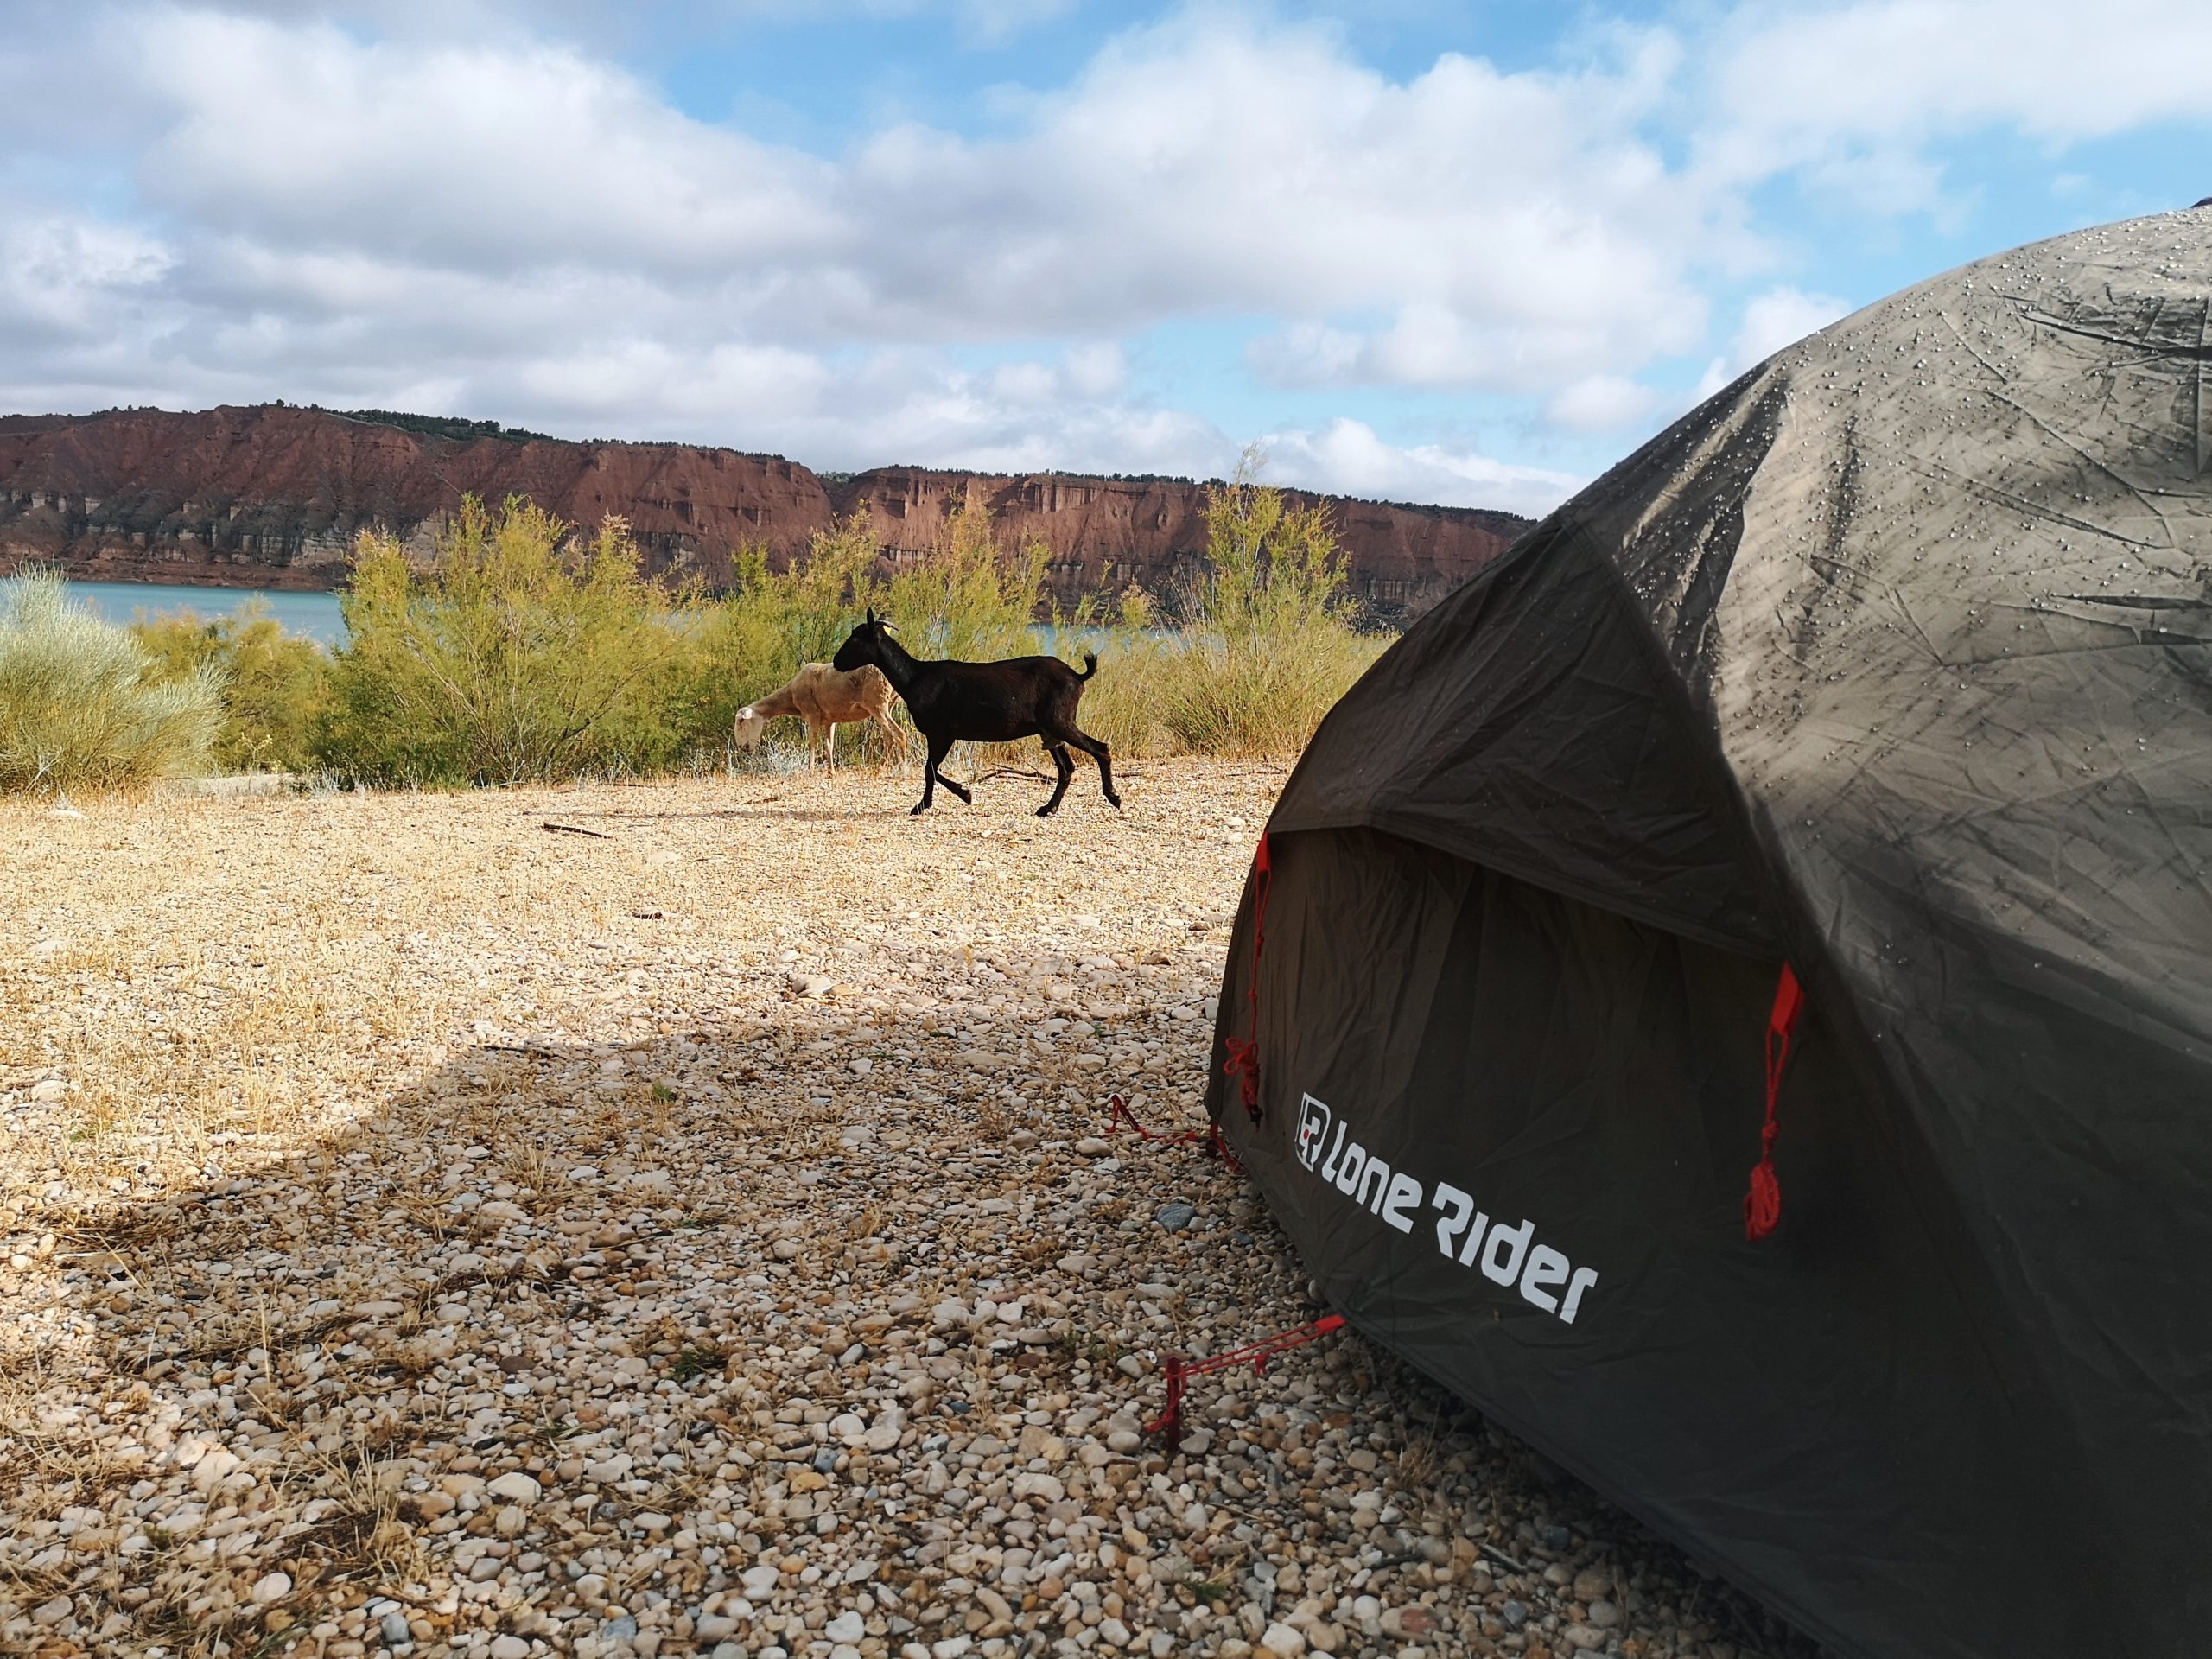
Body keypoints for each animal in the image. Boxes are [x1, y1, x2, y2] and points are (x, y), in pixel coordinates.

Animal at [734, 664, 906, 774]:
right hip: (888, 704)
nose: (742, 748)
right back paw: (881, 768)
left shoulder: (812, 714)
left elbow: (812, 744)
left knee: (899, 734)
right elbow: (829, 745)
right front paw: (831, 772)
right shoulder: (830, 719)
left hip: (877, 703)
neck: (791, 696)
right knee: (889, 737)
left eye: (741, 722)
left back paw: (903, 768)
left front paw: (810, 770)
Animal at [836, 610, 1123, 818]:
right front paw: (950, 797)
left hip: (1060, 720)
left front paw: (948, 799)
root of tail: (1078, 676)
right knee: (1067, 768)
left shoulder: (942, 732)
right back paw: (1047, 808)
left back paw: (1114, 797)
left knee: (1100, 749)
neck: (915, 677)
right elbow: (931, 769)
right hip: (1049, 730)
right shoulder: (943, 734)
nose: (837, 662)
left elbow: (930, 769)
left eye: (857, 639)